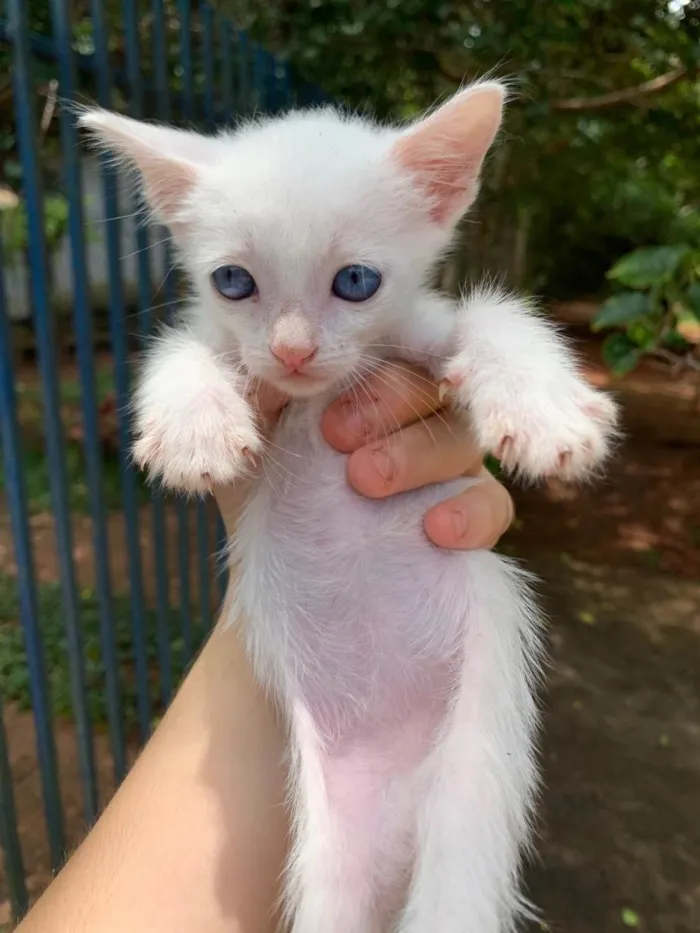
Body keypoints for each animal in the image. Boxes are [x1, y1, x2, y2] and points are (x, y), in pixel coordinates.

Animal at [80, 83, 616, 928]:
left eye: (356, 282)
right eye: (234, 281)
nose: (292, 351)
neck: (314, 396)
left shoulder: (422, 331)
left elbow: (494, 316)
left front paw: (545, 409)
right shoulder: (218, 332)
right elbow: (183, 345)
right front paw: (194, 425)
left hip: (471, 787)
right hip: (334, 850)